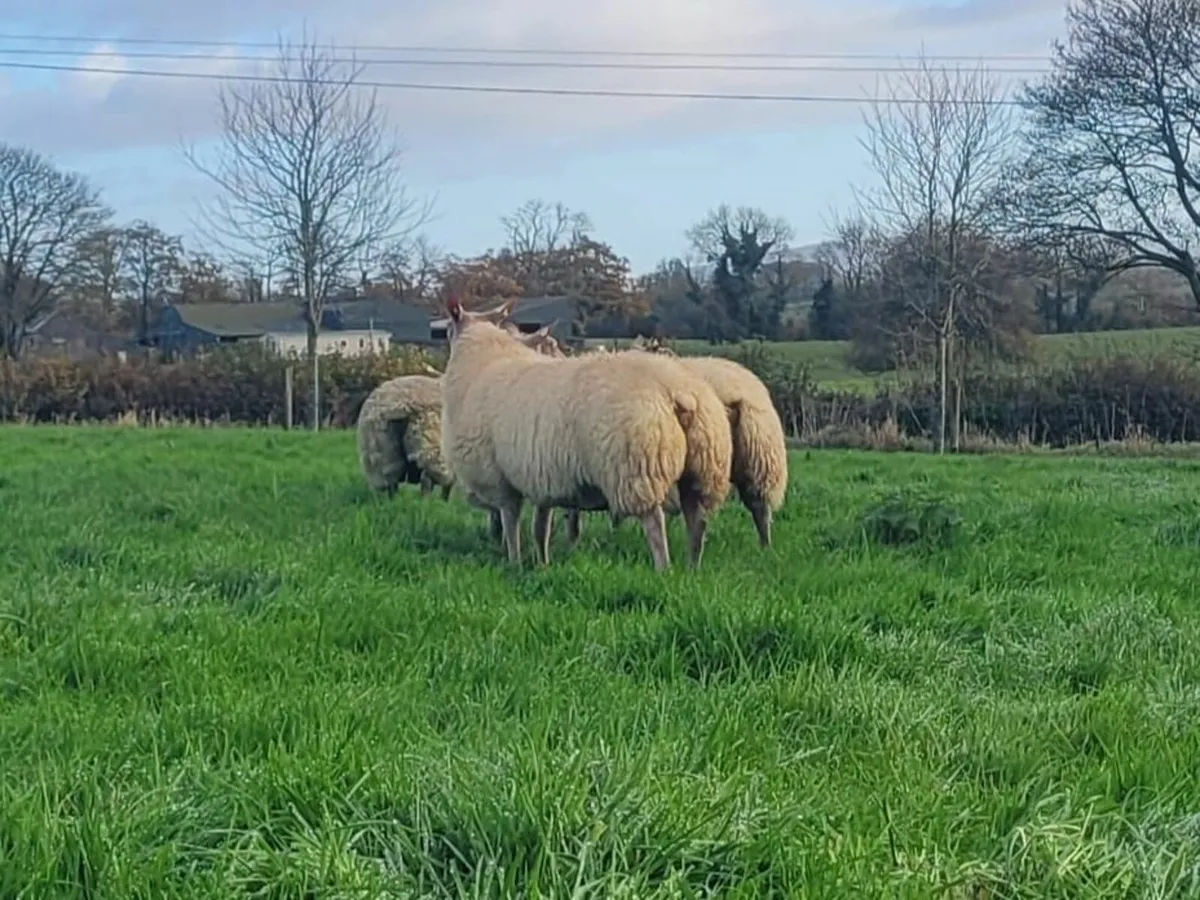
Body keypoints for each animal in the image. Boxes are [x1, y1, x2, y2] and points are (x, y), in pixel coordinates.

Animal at [439, 298, 732, 571]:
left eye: (448, 330)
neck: (482, 360)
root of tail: (677, 390)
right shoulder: (542, 478)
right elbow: (540, 527)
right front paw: (542, 564)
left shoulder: (499, 478)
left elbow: (510, 523)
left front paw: (515, 562)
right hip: (704, 466)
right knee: (697, 520)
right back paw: (692, 568)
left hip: (636, 468)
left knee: (655, 524)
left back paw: (664, 570)